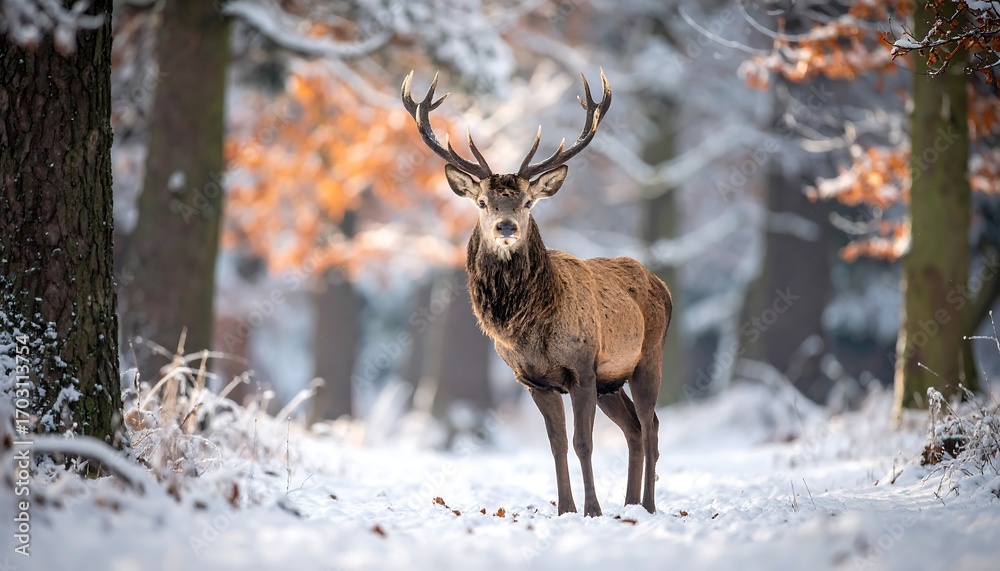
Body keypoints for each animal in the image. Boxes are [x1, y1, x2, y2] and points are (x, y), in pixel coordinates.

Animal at [401, 70, 672, 516]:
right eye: (482, 201)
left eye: (528, 202)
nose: (506, 226)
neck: (530, 330)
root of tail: (664, 287)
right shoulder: (535, 381)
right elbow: (557, 445)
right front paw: (565, 509)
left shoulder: (581, 369)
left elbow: (584, 443)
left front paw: (592, 510)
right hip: (611, 382)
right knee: (634, 427)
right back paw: (630, 505)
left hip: (647, 358)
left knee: (651, 425)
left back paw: (647, 506)